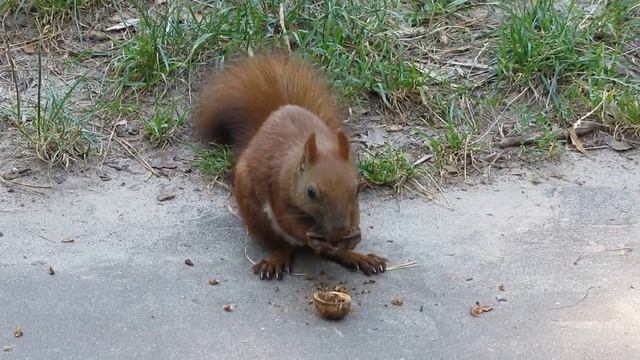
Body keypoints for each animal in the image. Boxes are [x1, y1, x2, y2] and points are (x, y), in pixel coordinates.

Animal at [194, 52, 384, 280]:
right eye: (311, 192)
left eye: (357, 190)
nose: (338, 231)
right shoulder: (278, 187)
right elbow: (289, 223)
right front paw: (312, 236)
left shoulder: (352, 207)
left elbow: (354, 218)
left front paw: (354, 236)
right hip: (255, 212)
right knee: (281, 245)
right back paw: (277, 260)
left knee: (334, 254)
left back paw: (359, 258)